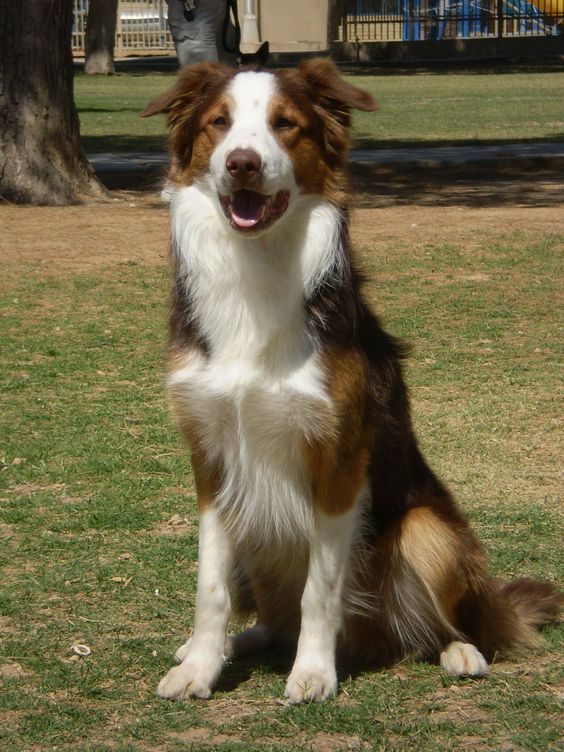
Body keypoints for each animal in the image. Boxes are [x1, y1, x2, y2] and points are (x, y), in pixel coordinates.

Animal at [144, 60, 560, 704]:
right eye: (219, 123)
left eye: (285, 124)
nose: (242, 163)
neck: (255, 271)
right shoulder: (211, 459)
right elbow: (209, 587)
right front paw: (201, 666)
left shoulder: (338, 457)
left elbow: (321, 590)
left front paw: (314, 672)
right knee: (274, 621)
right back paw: (236, 643)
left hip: (425, 530)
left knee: (443, 624)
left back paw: (460, 651)